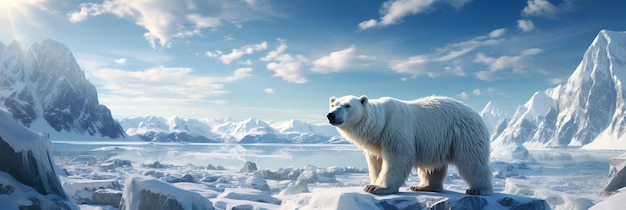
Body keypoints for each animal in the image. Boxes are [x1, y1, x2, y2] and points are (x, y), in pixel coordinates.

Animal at [326, 95, 492, 195]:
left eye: (347, 105)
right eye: (333, 104)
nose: (331, 115)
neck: (380, 124)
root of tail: (476, 114)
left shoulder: (396, 130)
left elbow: (397, 158)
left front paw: (377, 187)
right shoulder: (376, 143)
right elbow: (376, 163)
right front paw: (372, 183)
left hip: (464, 134)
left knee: (472, 162)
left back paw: (478, 189)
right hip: (437, 142)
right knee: (432, 168)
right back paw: (424, 186)